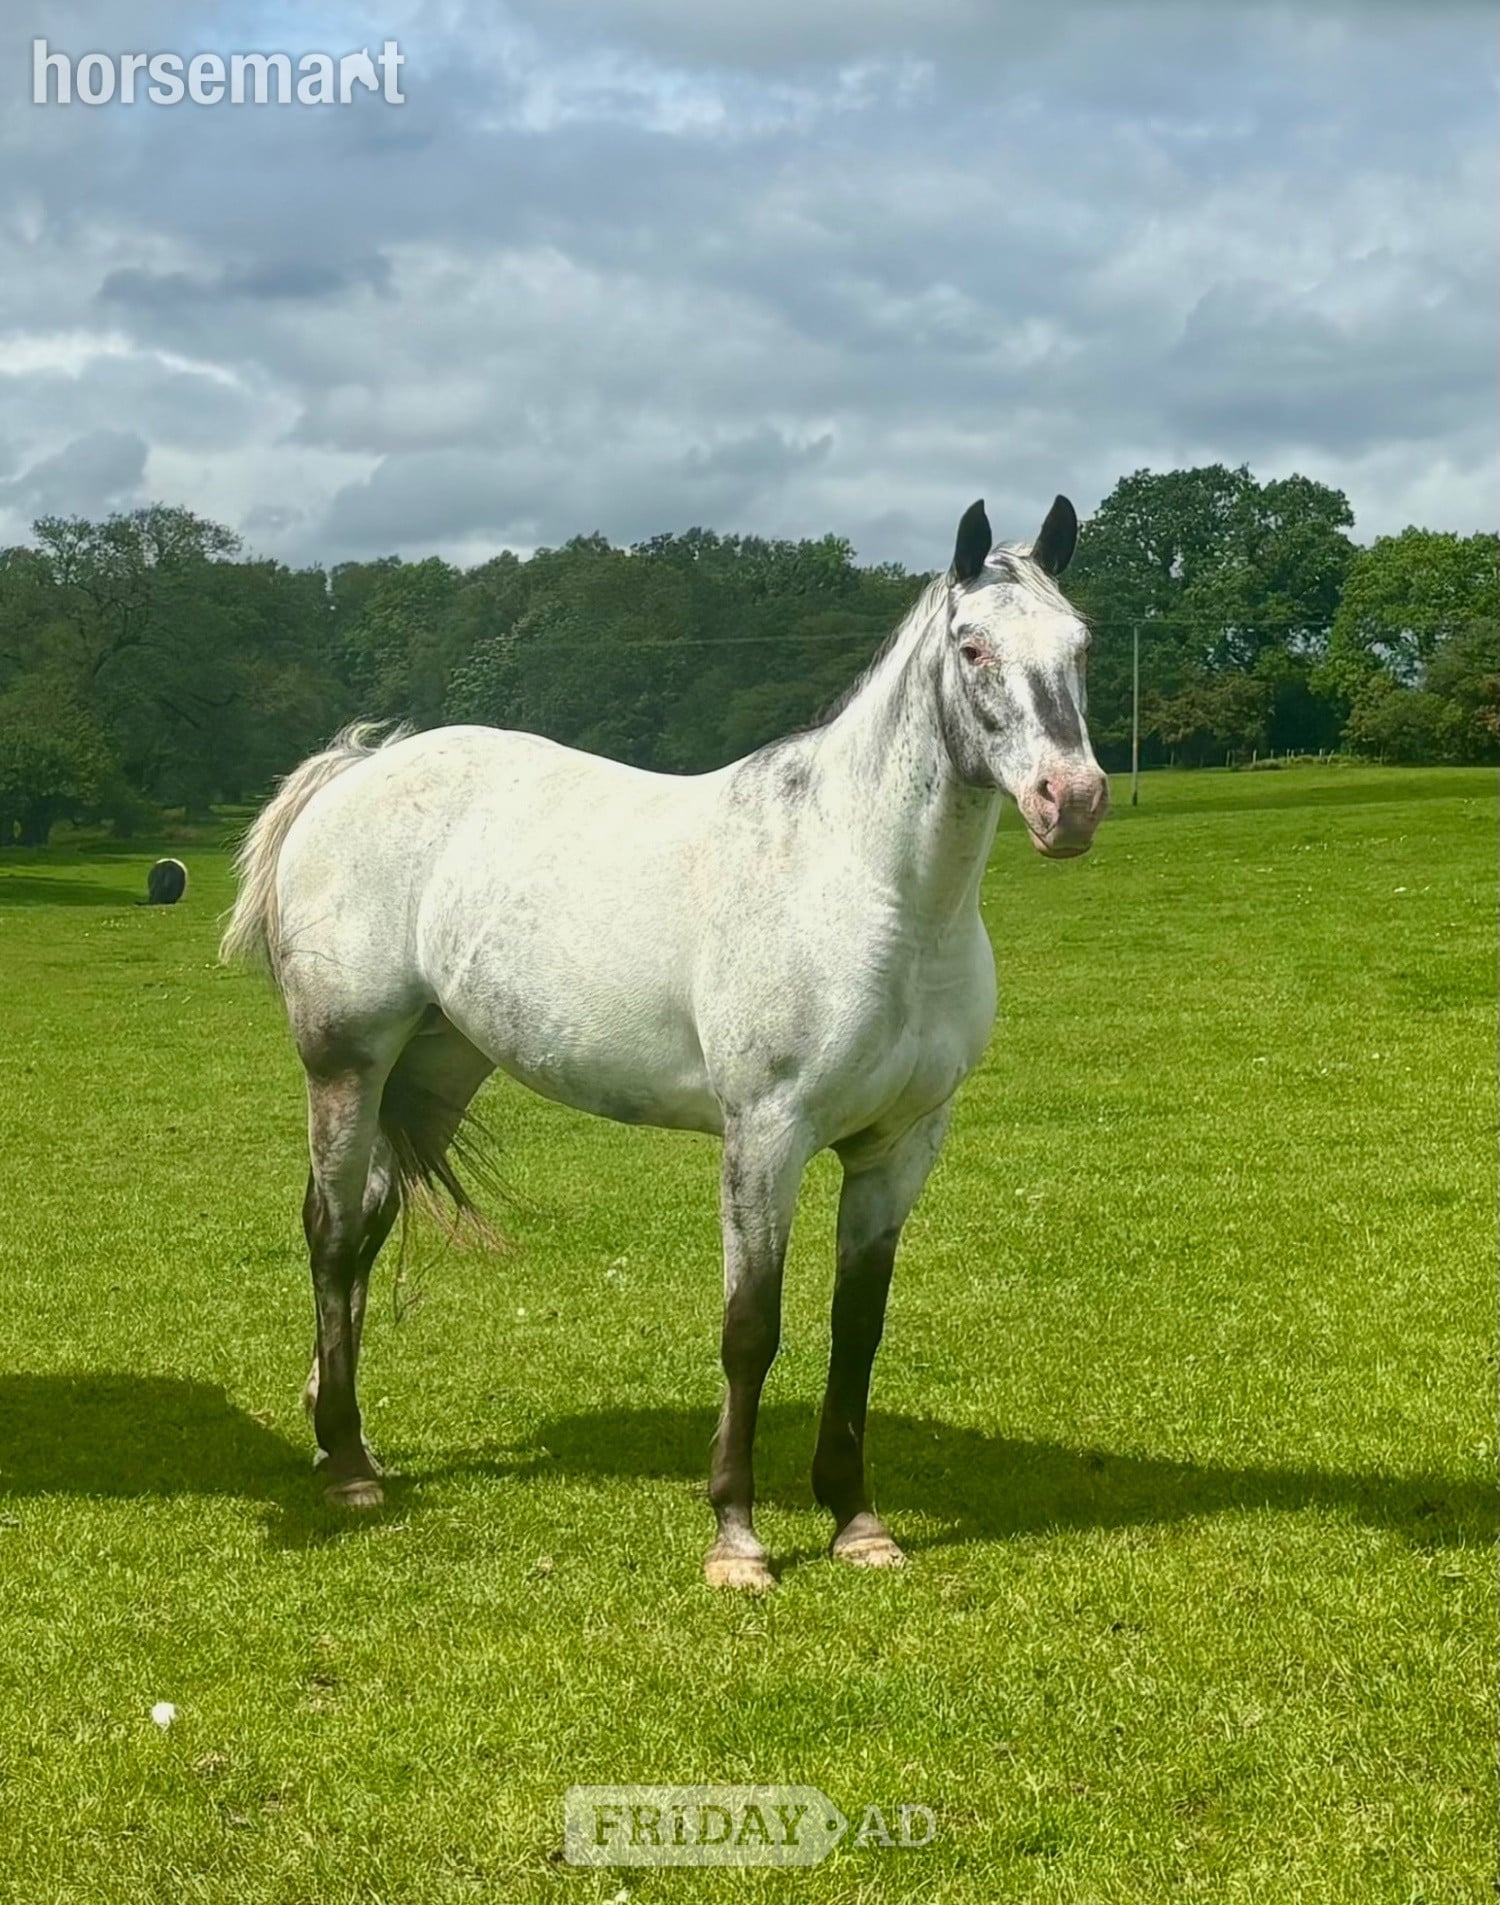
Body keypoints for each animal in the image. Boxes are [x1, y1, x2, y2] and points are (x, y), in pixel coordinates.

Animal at [220, 495, 1108, 1590]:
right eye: (974, 645)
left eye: (1081, 644)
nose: (1073, 801)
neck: (868, 889)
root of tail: (359, 768)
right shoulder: (766, 1137)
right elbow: (750, 1329)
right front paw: (737, 1539)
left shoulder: (899, 1147)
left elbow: (856, 1330)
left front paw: (857, 1523)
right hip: (345, 1064)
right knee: (335, 1236)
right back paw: (347, 1467)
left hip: (432, 1066)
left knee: (368, 1229)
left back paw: (337, 1434)